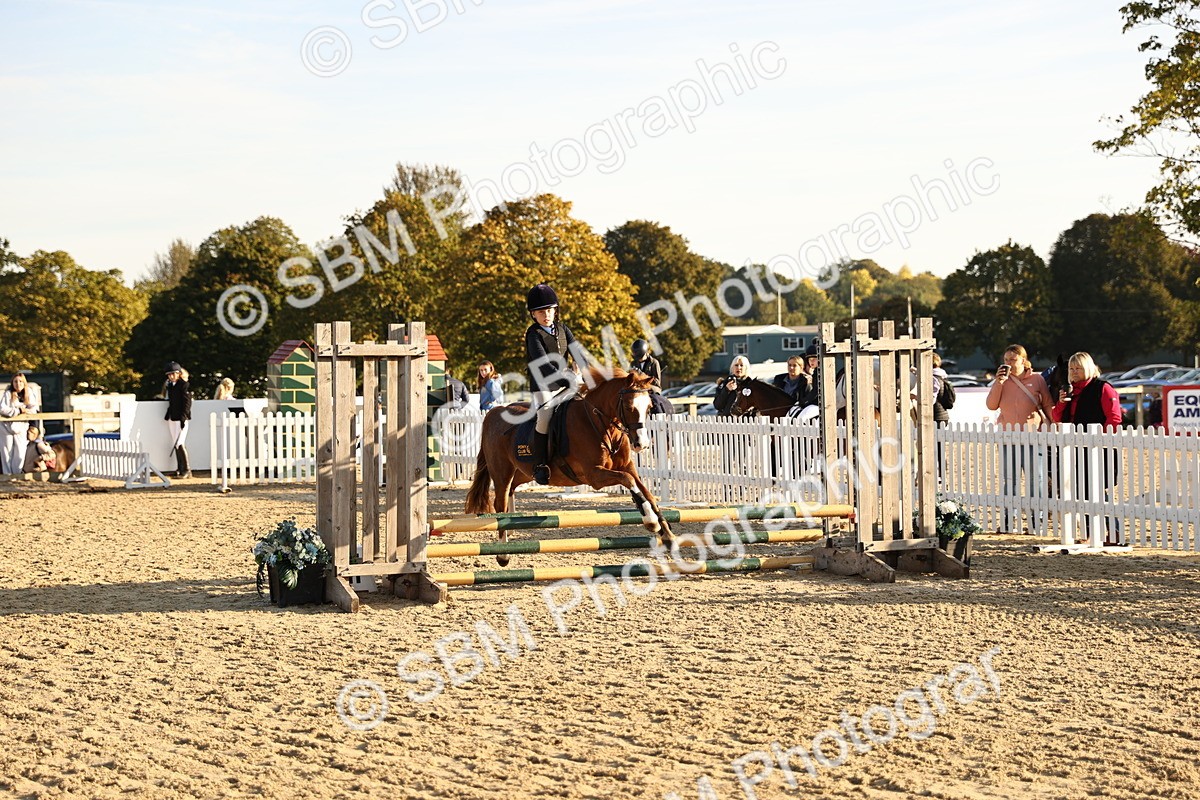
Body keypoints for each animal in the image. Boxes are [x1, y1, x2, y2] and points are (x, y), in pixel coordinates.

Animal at [464, 368, 672, 565]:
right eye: (629, 407)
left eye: (649, 407)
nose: (642, 444)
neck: (599, 423)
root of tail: (493, 413)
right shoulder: (594, 476)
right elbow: (628, 480)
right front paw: (651, 521)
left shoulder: (627, 467)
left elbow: (646, 492)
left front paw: (667, 535)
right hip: (502, 472)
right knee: (500, 503)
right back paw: (503, 555)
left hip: (524, 472)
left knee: (511, 491)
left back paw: (513, 525)